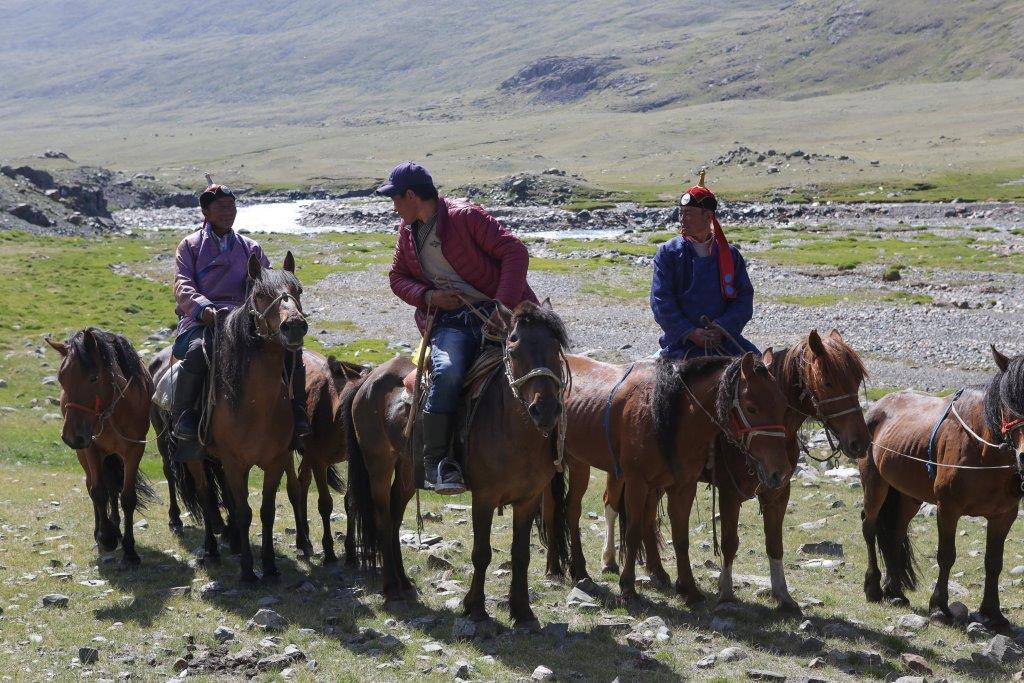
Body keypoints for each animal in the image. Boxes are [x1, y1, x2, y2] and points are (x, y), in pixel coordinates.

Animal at [45, 327, 154, 565]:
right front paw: (106, 537)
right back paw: (102, 531)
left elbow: (127, 497)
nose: (71, 436)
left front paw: (130, 551)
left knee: (113, 489)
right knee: (93, 485)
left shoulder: (134, 451)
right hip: (85, 454)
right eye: (61, 378)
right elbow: (98, 491)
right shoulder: (91, 448)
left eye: (93, 378)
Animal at [154, 250, 307, 581]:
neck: (256, 405)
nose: (294, 327)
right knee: (204, 495)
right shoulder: (235, 463)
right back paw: (212, 549)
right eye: (260, 295)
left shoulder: (275, 461)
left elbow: (266, 512)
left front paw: (270, 566)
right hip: (191, 454)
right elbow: (243, 511)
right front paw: (249, 571)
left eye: (298, 291)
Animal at [284, 350, 368, 565]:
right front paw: (329, 551)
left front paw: (351, 552)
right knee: (295, 488)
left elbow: (350, 502)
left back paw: (305, 536)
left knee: (303, 481)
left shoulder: (351, 460)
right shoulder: (319, 462)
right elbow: (325, 504)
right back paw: (302, 540)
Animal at [350, 296, 577, 626]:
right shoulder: (484, 497)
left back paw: (404, 583)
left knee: (394, 516)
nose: (545, 409)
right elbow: (481, 553)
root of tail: (368, 378)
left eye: (556, 347)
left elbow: (521, 554)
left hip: (407, 472)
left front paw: (522, 611)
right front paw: (476, 607)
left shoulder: (529, 498)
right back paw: (391, 589)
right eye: (513, 348)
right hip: (378, 464)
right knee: (382, 518)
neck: (514, 429)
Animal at [856, 348, 1024, 630]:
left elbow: (994, 562)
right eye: (1009, 405)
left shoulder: (1004, 515)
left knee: (893, 534)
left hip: (907, 497)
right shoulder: (948, 509)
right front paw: (940, 607)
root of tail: (876, 409)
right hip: (875, 485)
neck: (984, 449)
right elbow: (946, 555)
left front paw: (993, 613)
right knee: (869, 528)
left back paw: (895, 592)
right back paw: (874, 588)